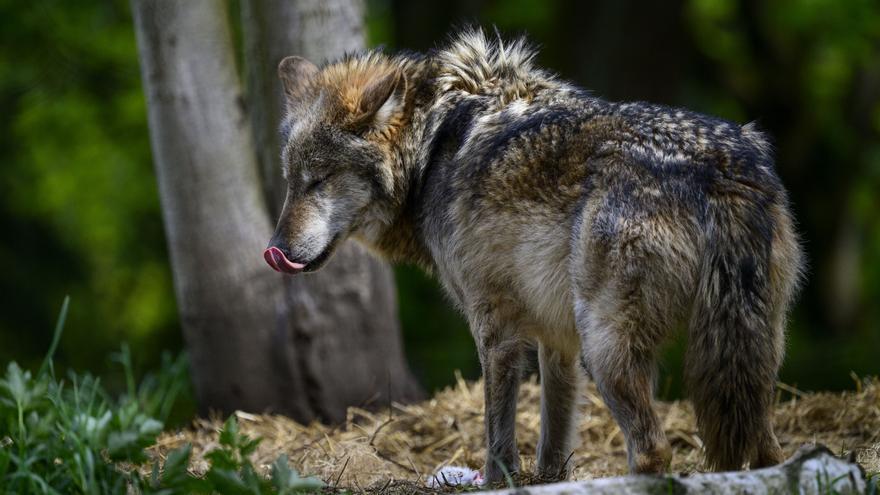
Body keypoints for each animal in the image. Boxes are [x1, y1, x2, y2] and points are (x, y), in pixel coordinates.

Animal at [263, 29, 804, 483]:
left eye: (320, 180)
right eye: (291, 182)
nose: (276, 252)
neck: (431, 147)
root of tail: (719, 168)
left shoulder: (495, 327)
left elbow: (498, 437)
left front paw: (495, 482)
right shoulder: (555, 337)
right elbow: (553, 437)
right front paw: (549, 481)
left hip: (606, 347)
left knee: (653, 450)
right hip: (748, 353)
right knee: (768, 451)